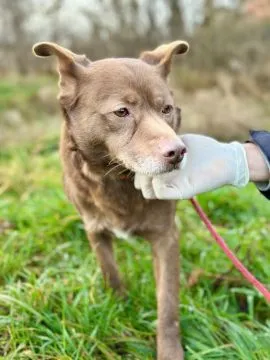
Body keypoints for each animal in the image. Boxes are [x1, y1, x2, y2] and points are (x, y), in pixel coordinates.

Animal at [33, 39, 190, 360]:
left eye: (166, 109)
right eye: (121, 112)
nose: (179, 152)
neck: (119, 177)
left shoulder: (166, 236)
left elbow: (167, 304)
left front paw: (169, 351)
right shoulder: (94, 229)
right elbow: (110, 272)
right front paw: (119, 307)